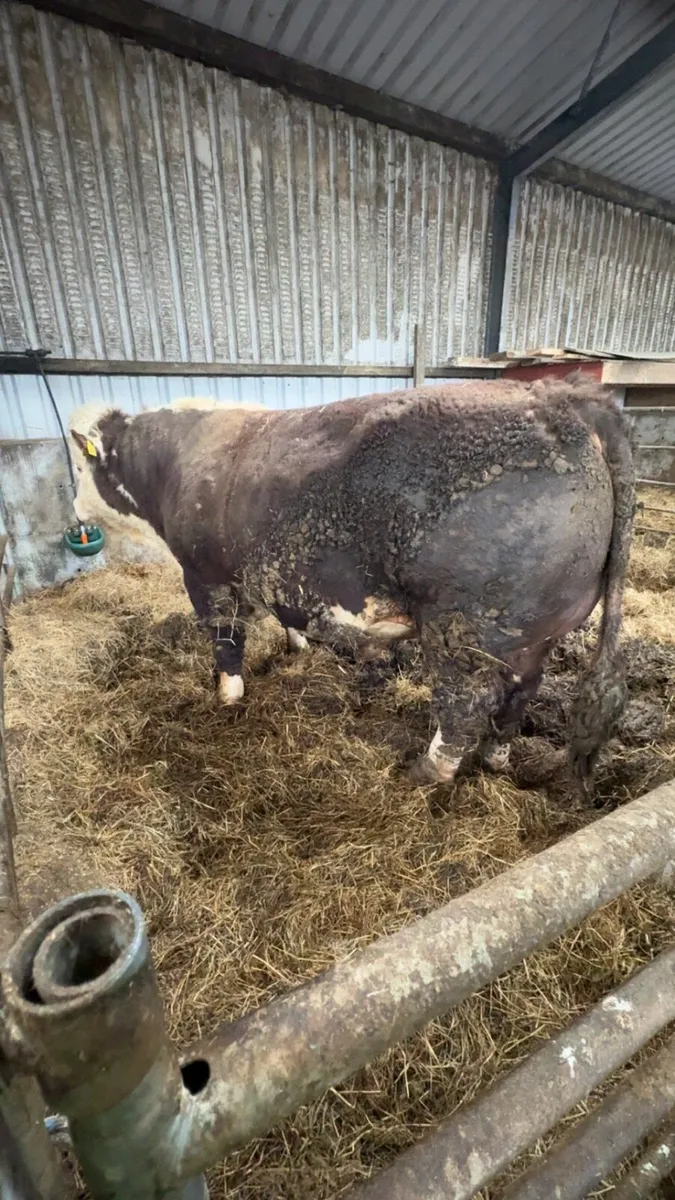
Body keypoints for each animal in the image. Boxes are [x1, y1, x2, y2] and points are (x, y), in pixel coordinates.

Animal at [68, 379, 634, 789]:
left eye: (79, 465)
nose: (74, 511)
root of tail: (558, 396)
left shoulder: (205, 577)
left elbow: (226, 642)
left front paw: (227, 699)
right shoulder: (270, 573)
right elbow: (282, 615)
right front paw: (294, 647)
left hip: (463, 629)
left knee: (466, 705)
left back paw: (425, 773)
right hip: (536, 636)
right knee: (520, 695)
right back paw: (496, 759)